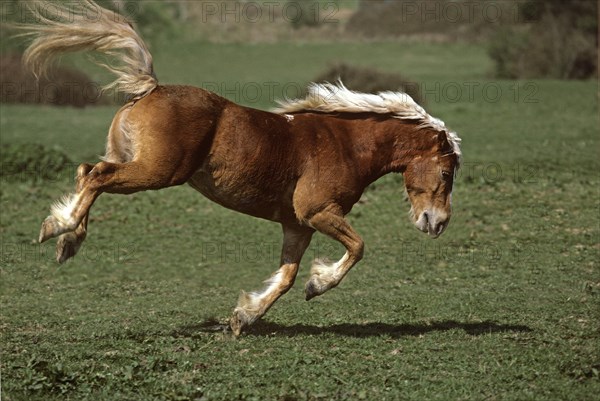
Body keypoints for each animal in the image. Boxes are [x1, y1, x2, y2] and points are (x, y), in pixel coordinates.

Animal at [18, 1, 460, 336]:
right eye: (446, 173)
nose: (437, 223)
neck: (346, 144)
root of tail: (151, 88)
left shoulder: (297, 224)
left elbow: (286, 277)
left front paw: (243, 317)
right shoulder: (319, 213)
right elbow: (357, 247)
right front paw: (318, 285)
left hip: (131, 160)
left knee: (86, 171)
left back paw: (68, 241)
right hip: (157, 172)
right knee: (96, 177)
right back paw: (58, 230)